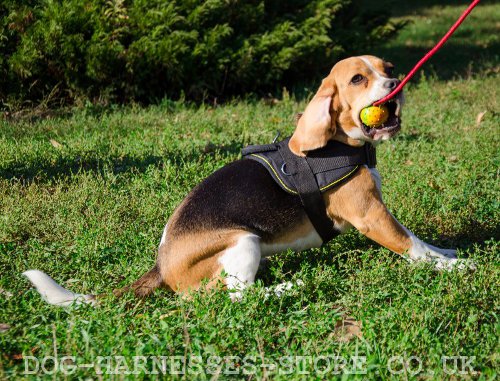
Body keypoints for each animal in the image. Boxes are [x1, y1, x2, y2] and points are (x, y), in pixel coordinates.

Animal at [24, 55, 468, 304]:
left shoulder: (381, 212)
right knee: (237, 296)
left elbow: (419, 240)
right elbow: (411, 246)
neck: (340, 143)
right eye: (358, 79)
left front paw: (446, 254)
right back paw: (290, 288)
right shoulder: (371, 216)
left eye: (388, 69)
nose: (396, 83)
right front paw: (455, 268)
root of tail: (162, 266)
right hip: (243, 241)